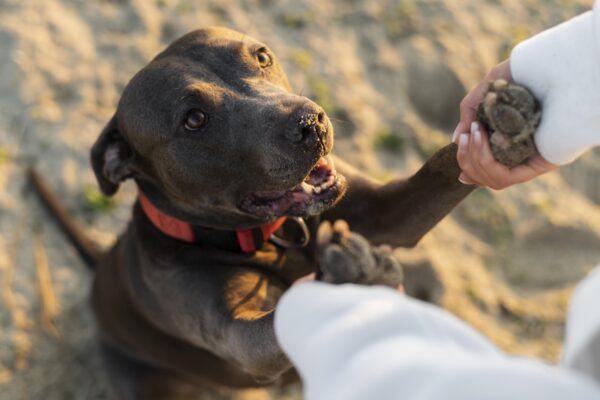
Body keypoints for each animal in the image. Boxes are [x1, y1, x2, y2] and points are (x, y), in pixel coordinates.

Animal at [31, 26, 474, 398]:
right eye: (194, 119)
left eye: (262, 57)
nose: (310, 122)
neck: (272, 237)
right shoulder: (240, 337)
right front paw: (348, 277)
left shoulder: (387, 212)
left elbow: (442, 166)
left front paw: (490, 122)